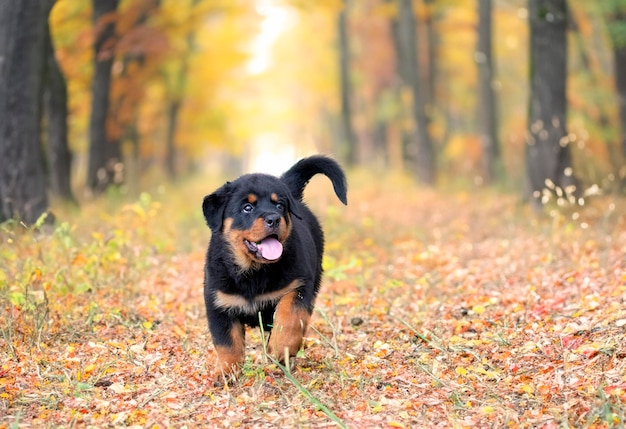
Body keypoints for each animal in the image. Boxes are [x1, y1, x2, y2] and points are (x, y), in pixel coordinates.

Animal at [200, 155, 346, 372]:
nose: (274, 218)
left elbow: (289, 317)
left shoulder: (298, 286)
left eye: (279, 206)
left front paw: (280, 348)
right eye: (247, 207)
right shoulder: (218, 303)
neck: (253, 271)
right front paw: (226, 372)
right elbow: (226, 343)